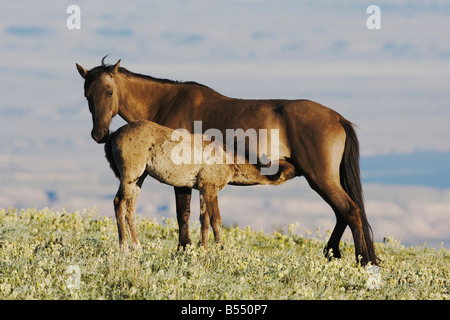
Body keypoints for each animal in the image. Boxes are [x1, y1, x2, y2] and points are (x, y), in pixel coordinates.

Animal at [104, 119, 296, 251]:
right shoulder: (210, 189)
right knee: (119, 203)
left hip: (139, 178)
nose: (299, 169)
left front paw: (204, 250)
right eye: (291, 167)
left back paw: (137, 247)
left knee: (130, 209)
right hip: (129, 177)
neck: (229, 157)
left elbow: (204, 220)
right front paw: (221, 250)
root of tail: (114, 134)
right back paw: (124, 248)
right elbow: (216, 220)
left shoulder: (203, 189)